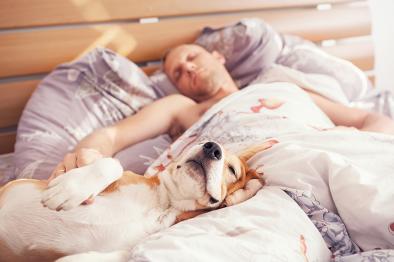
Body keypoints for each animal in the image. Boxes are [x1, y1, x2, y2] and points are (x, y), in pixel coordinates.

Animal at [0, 140, 278, 260]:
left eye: (232, 170)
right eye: (204, 139)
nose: (212, 147)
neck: (163, 201)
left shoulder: (120, 252)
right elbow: (112, 163)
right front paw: (70, 187)